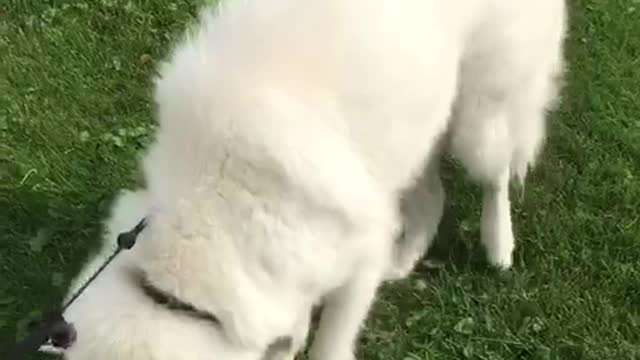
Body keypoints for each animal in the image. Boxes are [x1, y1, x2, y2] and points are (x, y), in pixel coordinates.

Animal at [55, 0, 564, 358]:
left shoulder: (358, 259)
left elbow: (330, 343)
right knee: (433, 196)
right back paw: (404, 262)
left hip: (480, 121)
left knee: (495, 178)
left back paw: (498, 247)